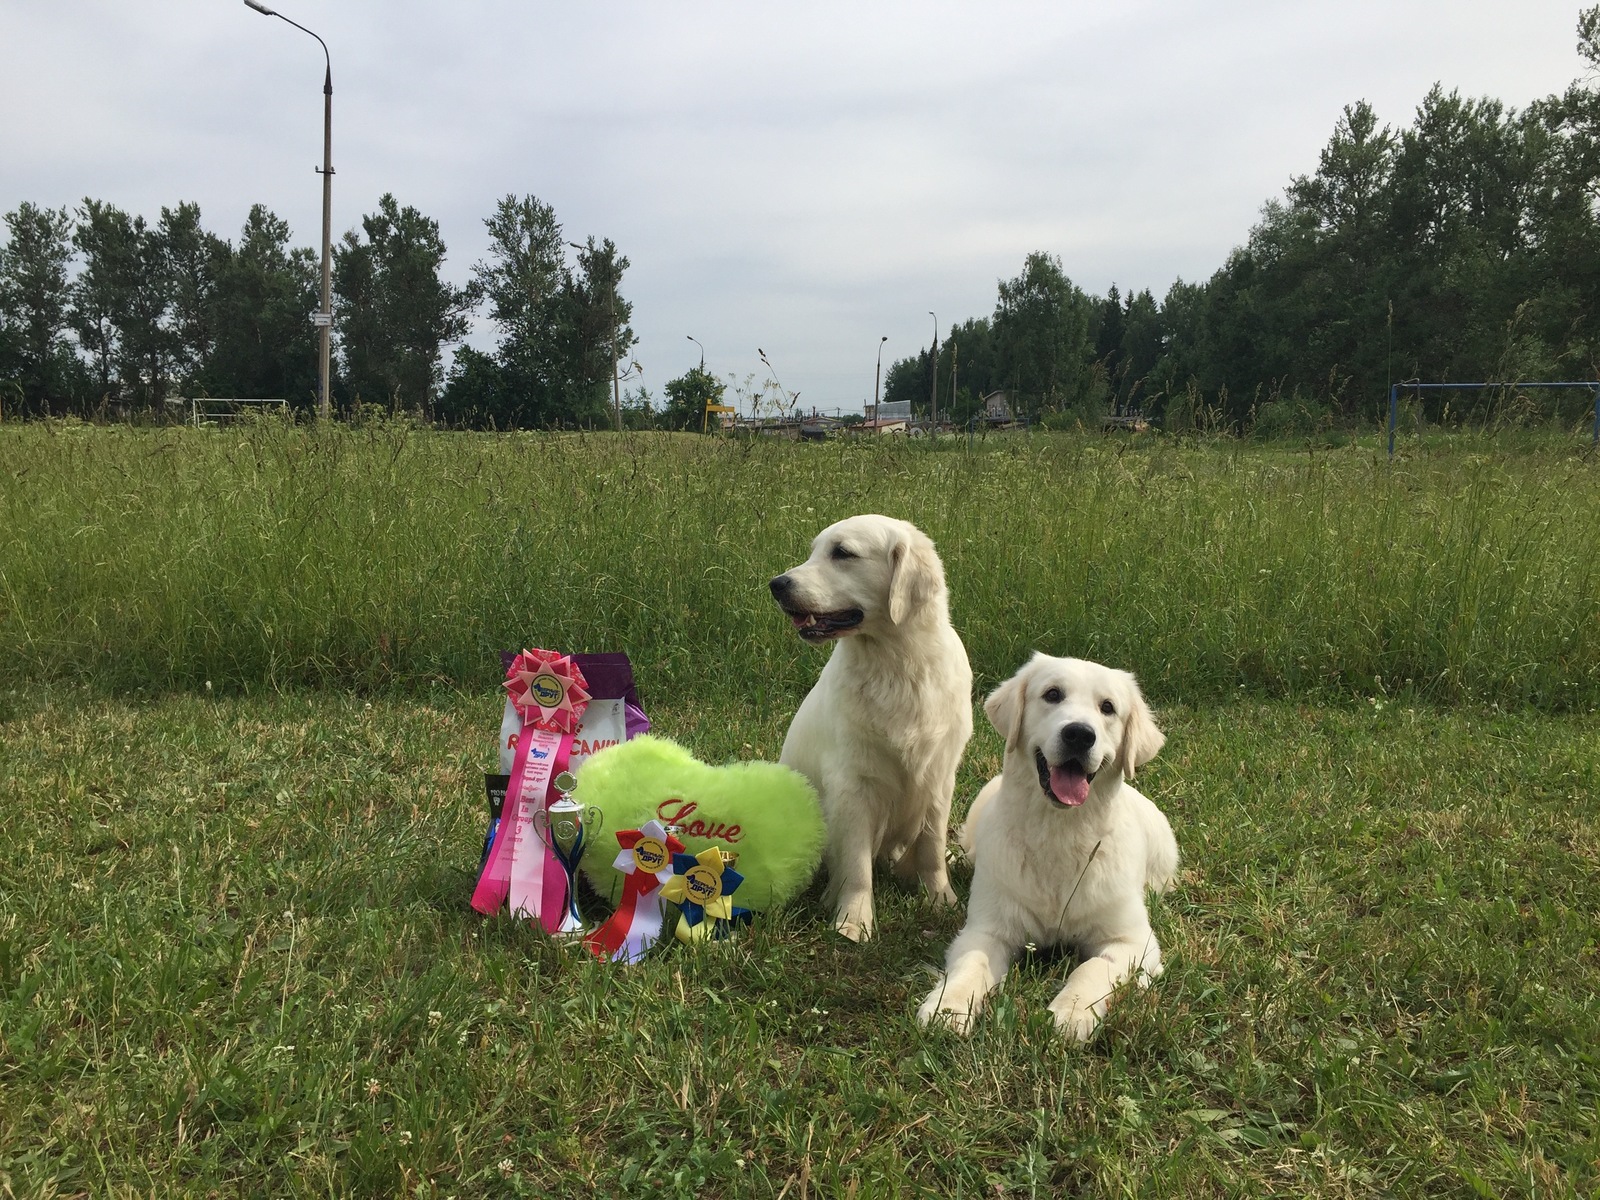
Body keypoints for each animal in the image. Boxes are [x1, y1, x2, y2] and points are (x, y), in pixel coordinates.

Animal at [768, 512, 966, 947]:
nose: (777, 584)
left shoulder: (939, 777)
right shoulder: (854, 784)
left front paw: (942, 901)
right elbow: (857, 865)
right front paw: (853, 921)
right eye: (814, 550)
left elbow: (931, 849)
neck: (897, 665)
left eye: (842, 553)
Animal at [915, 652, 1177, 1036]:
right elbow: (971, 964)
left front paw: (1072, 1013)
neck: (1058, 834)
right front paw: (948, 1007)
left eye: (1108, 707)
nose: (1079, 734)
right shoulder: (988, 929)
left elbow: (1091, 968)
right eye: (1052, 694)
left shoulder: (1132, 941)